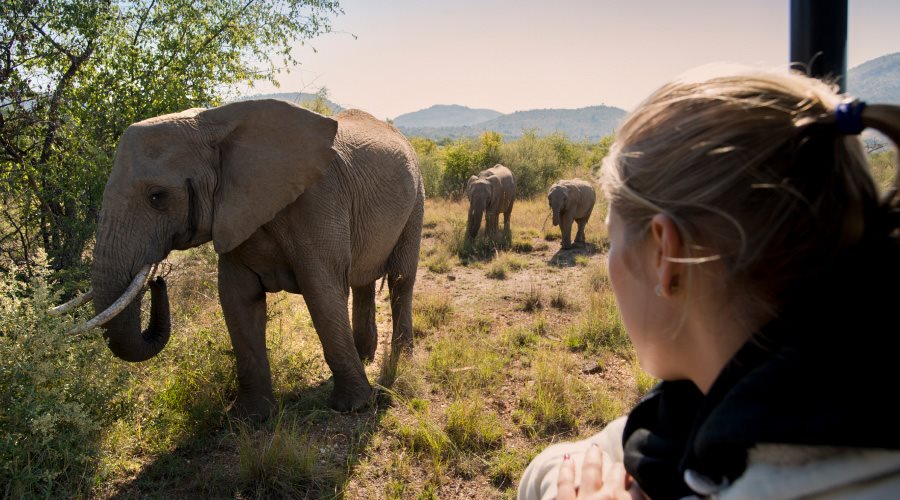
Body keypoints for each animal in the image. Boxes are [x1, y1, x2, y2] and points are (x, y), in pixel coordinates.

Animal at [84, 99, 422, 420]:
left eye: (157, 196)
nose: (158, 279)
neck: (213, 124)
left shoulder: (319, 200)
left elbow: (322, 292)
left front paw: (352, 406)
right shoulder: (234, 213)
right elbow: (237, 300)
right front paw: (251, 417)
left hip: (416, 196)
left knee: (401, 280)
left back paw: (402, 360)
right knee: (364, 281)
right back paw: (365, 356)